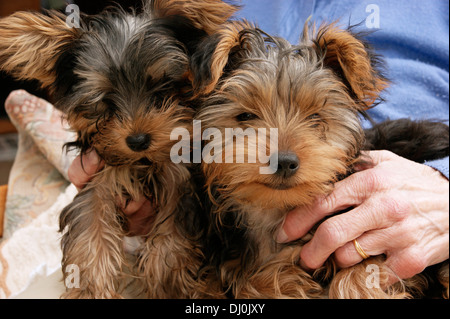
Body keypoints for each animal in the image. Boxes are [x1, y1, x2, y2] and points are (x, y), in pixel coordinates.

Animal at [0, 0, 239, 300]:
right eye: (105, 101)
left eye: (161, 89)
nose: (137, 140)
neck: (141, 163)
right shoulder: (97, 180)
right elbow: (90, 231)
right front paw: (91, 289)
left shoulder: (181, 182)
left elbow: (173, 236)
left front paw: (166, 283)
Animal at [192, 20, 448, 300]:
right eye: (245, 116)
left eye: (315, 118)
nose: (284, 162)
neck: (276, 210)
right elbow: (256, 281)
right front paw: (281, 281)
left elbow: (359, 275)